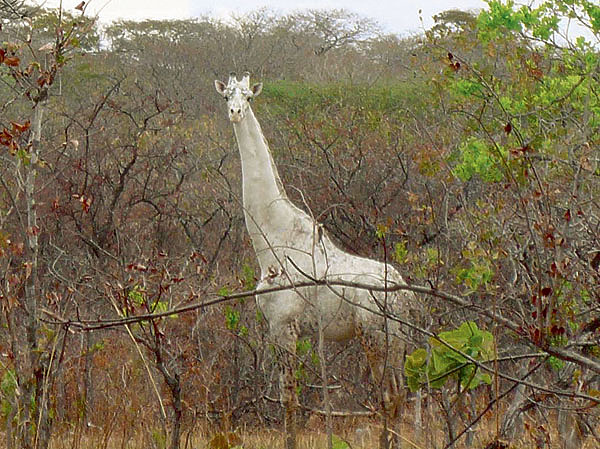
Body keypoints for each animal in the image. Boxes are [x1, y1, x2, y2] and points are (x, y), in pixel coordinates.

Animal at [216, 72, 418, 446]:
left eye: (249, 97)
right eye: (227, 97)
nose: (235, 112)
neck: (272, 237)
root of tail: (404, 292)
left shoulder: (283, 325)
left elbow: (289, 398)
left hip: (375, 336)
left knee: (386, 396)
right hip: (397, 340)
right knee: (398, 395)